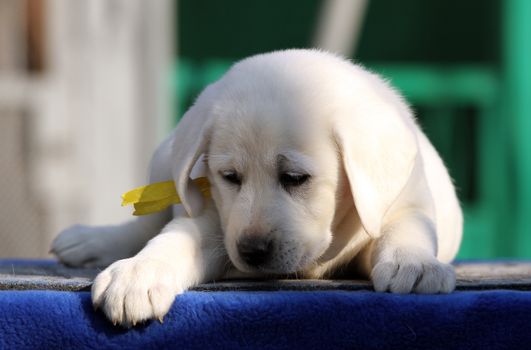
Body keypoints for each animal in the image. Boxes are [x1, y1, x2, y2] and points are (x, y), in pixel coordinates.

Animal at [52, 48, 464, 326]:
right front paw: (138, 274)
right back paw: (90, 241)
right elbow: (171, 240)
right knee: (144, 227)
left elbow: (406, 229)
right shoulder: (211, 219)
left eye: (295, 178)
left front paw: (414, 264)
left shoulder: (405, 204)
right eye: (229, 177)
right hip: (164, 161)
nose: (251, 251)